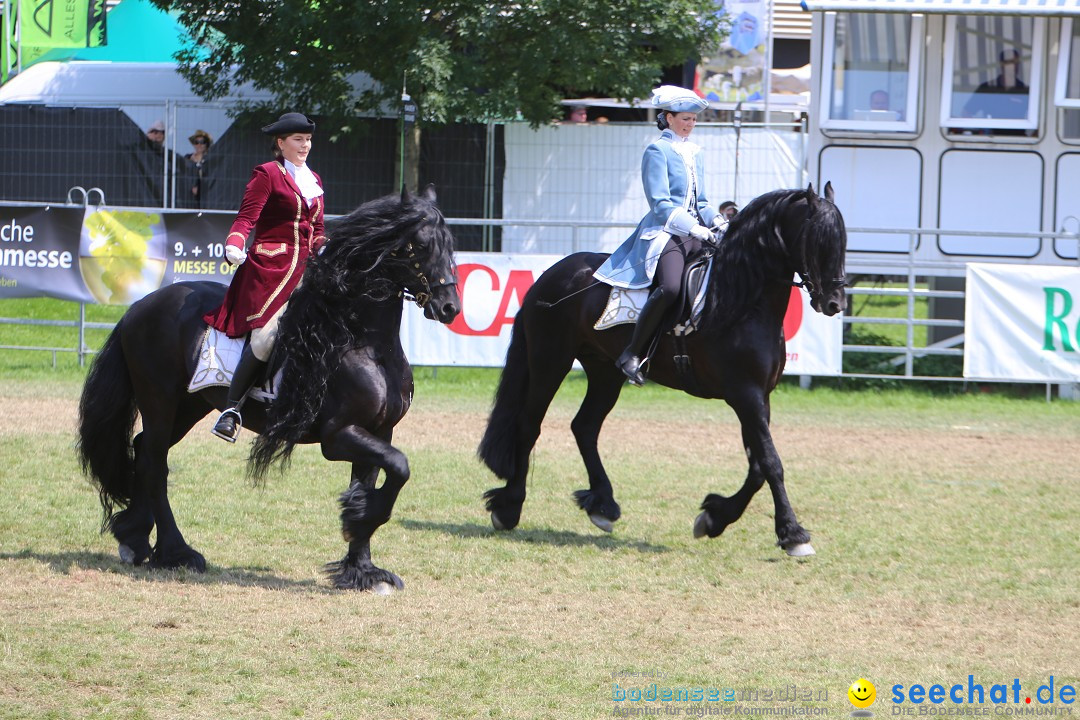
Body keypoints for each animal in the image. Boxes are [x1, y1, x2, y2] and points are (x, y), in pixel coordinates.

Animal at [78, 187, 460, 591]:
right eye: (420, 245)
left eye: (450, 244)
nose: (449, 307)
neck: (364, 343)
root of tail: (140, 306)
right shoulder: (338, 435)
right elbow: (400, 467)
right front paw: (357, 523)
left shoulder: (378, 430)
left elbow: (371, 481)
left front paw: (363, 567)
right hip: (159, 399)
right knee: (154, 463)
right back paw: (176, 552)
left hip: (189, 404)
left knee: (145, 451)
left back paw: (134, 539)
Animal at [479, 183, 842, 557]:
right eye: (817, 239)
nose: (834, 302)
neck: (741, 302)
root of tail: (551, 276)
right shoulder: (745, 395)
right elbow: (771, 462)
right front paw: (793, 534)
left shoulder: (759, 397)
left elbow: (757, 466)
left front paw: (714, 518)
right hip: (550, 360)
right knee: (529, 425)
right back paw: (509, 508)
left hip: (605, 372)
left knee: (585, 427)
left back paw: (602, 505)